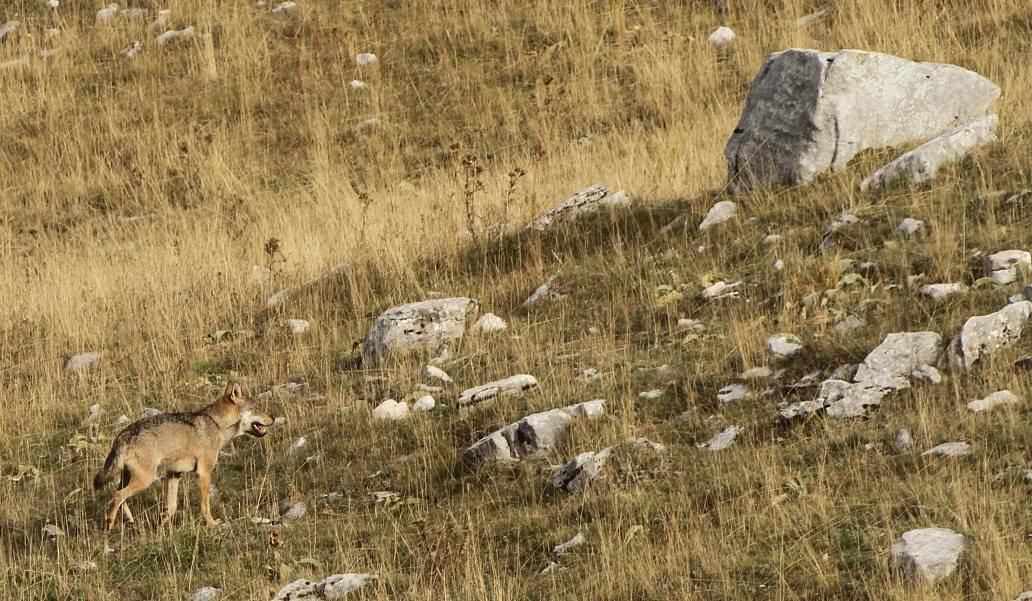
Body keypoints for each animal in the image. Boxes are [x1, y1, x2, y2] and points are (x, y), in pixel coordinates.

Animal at [93, 382, 274, 530]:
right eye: (256, 407)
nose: (273, 417)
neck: (217, 424)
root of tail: (122, 436)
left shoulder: (174, 474)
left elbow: (172, 507)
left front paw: (160, 523)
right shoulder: (203, 473)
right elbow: (205, 505)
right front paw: (212, 523)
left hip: (132, 478)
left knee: (118, 495)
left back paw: (130, 521)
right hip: (146, 480)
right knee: (117, 495)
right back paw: (109, 523)